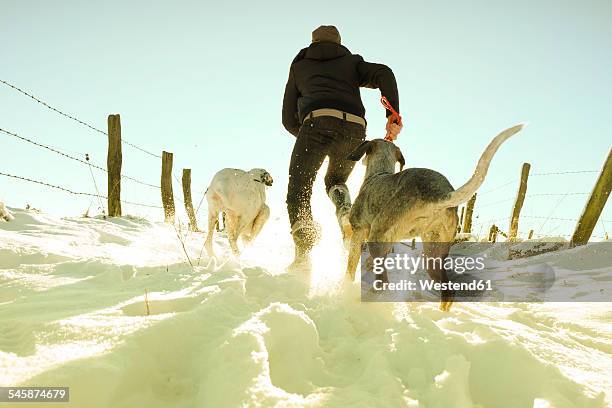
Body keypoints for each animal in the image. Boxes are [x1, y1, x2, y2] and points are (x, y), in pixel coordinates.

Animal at [346, 124, 524, 310]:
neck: (378, 173)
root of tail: (440, 194)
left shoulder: (359, 233)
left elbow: (350, 269)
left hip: (378, 238)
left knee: (383, 283)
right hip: (433, 253)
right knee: (448, 292)